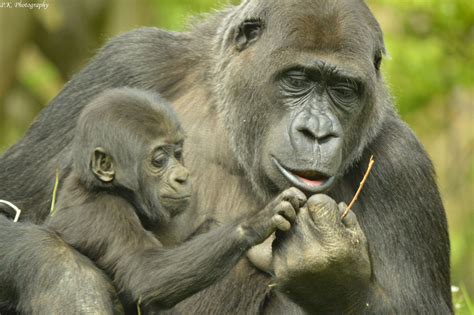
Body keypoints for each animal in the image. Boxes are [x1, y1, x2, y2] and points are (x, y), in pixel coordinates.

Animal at [45, 87, 308, 312]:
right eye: (159, 160)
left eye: (178, 153)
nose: (183, 176)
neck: (104, 187)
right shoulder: (105, 212)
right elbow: (144, 271)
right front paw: (256, 222)